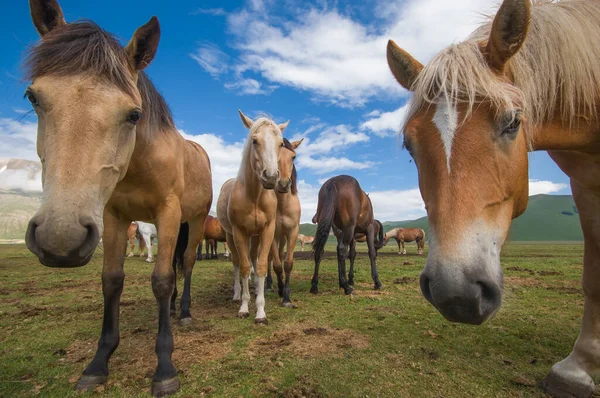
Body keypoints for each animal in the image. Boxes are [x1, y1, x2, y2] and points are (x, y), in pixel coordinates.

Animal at [22, 0, 211, 394]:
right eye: (33, 97)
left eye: (134, 114)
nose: (59, 238)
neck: (140, 161)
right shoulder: (112, 216)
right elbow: (111, 280)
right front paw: (99, 361)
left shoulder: (169, 213)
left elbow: (161, 279)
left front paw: (165, 368)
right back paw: (173, 309)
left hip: (195, 219)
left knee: (185, 264)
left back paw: (183, 311)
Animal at [218, 111, 288, 324]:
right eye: (255, 140)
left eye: (280, 143)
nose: (271, 177)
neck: (254, 196)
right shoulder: (239, 232)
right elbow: (243, 267)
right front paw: (244, 308)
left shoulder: (266, 231)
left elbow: (261, 266)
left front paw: (260, 312)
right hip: (230, 235)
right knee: (236, 263)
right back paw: (237, 294)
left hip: (255, 236)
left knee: (254, 261)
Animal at [386, 0, 600, 394]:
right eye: (409, 143)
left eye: (513, 122)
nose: (456, 292)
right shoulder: (584, 183)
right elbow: (592, 276)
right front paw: (578, 367)